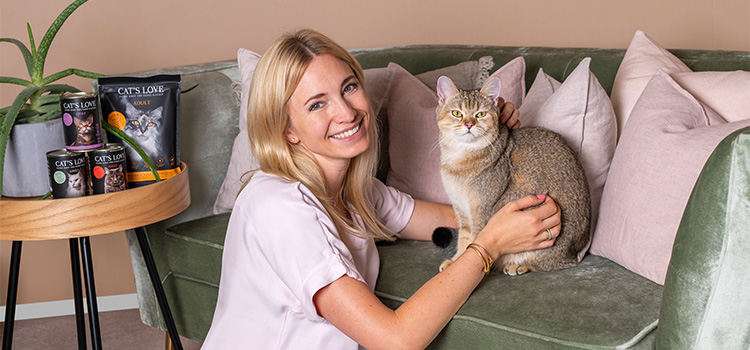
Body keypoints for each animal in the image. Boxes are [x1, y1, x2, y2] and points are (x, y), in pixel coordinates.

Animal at [434, 76, 592, 276]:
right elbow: (463, 239)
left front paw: (462, 266)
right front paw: (456, 261)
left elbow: (473, 241)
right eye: (457, 113)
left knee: (562, 263)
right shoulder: (462, 211)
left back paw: (519, 265)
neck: (458, 161)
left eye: (480, 114)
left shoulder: (481, 212)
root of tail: (578, 248)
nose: (469, 124)